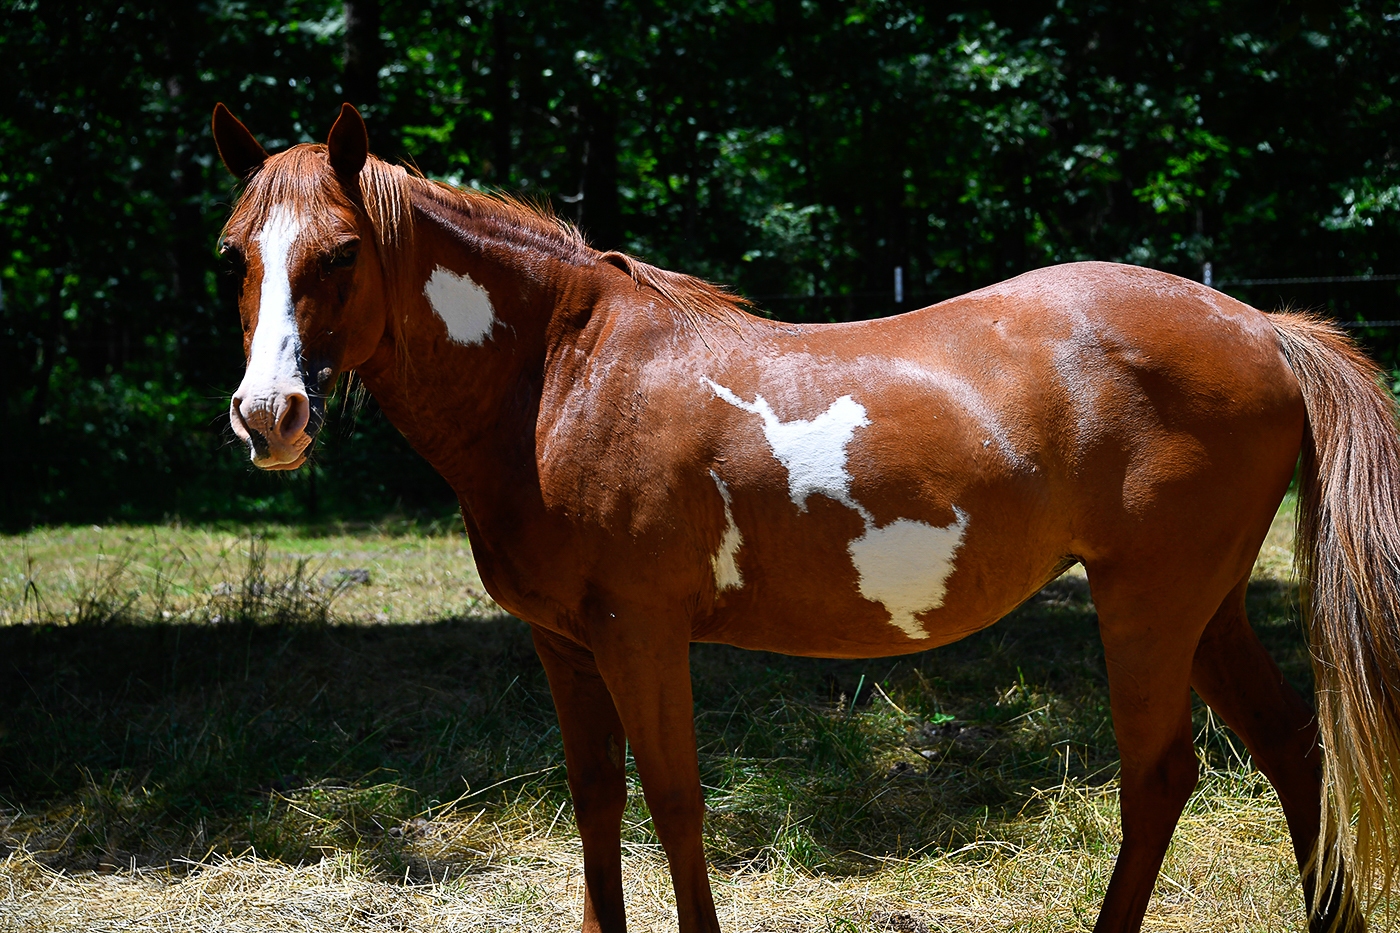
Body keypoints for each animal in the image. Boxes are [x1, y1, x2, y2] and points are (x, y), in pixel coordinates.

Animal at [211, 101, 1400, 932]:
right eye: (236, 252)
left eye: (341, 253)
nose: (268, 416)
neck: (561, 376)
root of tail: (1262, 325)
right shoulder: (562, 643)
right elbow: (596, 802)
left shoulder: (640, 635)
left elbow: (675, 802)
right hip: (1206, 609)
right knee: (1292, 749)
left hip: (1148, 606)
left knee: (1160, 778)